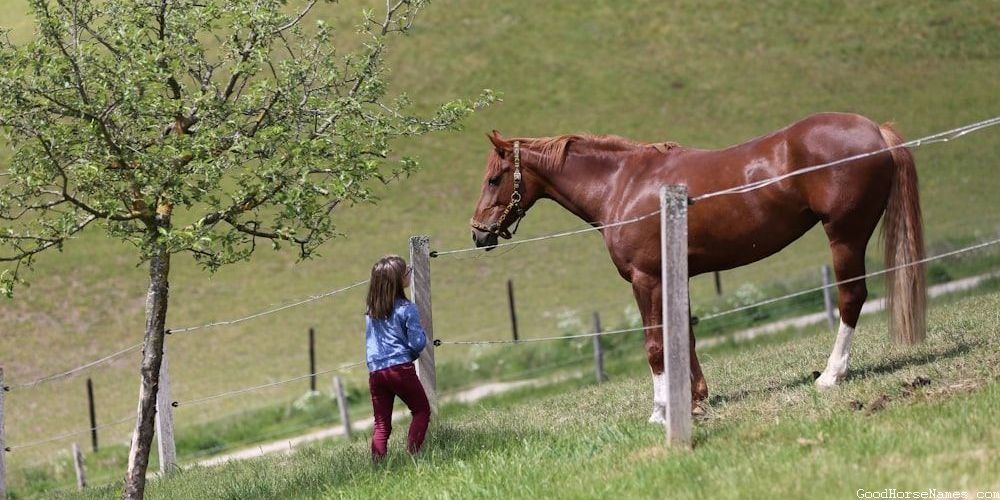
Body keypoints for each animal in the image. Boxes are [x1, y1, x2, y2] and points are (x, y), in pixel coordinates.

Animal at [472, 111, 924, 420]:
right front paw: (695, 400)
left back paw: (831, 375)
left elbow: (656, 344)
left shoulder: (646, 280)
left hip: (845, 235)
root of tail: (874, 129)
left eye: (494, 179)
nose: (478, 233)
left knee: (852, 297)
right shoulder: (674, 276)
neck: (624, 184)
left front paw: (660, 410)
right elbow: (683, 335)